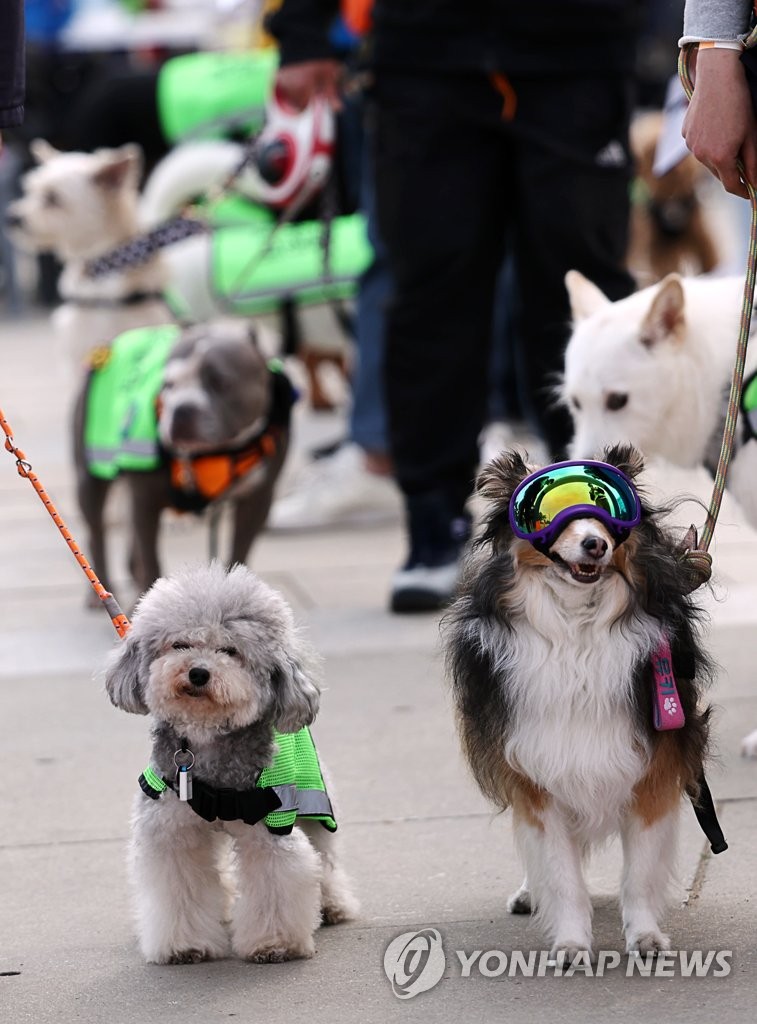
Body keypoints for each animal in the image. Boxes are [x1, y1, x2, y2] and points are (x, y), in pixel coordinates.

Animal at [104, 565, 360, 962]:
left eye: (230, 651)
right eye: (180, 645)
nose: (198, 673)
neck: (207, 741)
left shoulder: (272, 829)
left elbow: (276, 881)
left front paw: (275, 943)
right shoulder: (172, 833)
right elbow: (182, 887)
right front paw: (186, 945)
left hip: (315, 802)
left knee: (325, 857)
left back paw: (333, 905)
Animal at [444, 446, 708, 958]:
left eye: (608, 512)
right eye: (545, 515)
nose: (594, 545)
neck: (577, 627)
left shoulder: (652, 768)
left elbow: (640, 873)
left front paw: (645, 936)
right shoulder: (536, 771)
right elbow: (560, 872)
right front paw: (570, 943)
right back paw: (529, 892)